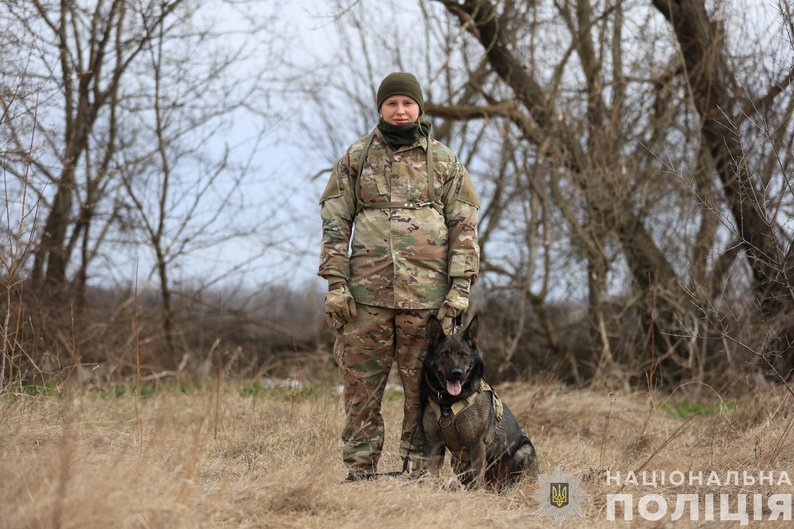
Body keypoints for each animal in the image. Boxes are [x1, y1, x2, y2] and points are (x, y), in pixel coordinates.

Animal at [420, 314, 538, 489]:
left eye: (464, 355)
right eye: (444, 354)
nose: (457, 373)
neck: (449, 402)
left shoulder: (476, 444)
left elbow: (476, 476)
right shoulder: (433, 444)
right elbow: (429, 472)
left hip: (524, 451)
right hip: (456, 461)